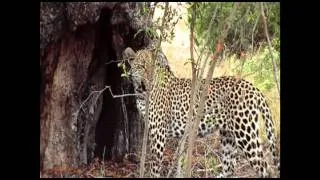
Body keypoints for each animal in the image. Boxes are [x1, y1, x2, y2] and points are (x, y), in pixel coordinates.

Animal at [123, 47, 280, 178]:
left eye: (152, 67)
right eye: (142, 66)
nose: (149, 79)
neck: (142, 92)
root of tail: (253, 87)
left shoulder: (159, 134)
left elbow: (155, 166)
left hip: (245, 134)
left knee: (266, 169)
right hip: (228, 136)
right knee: (229, 167)